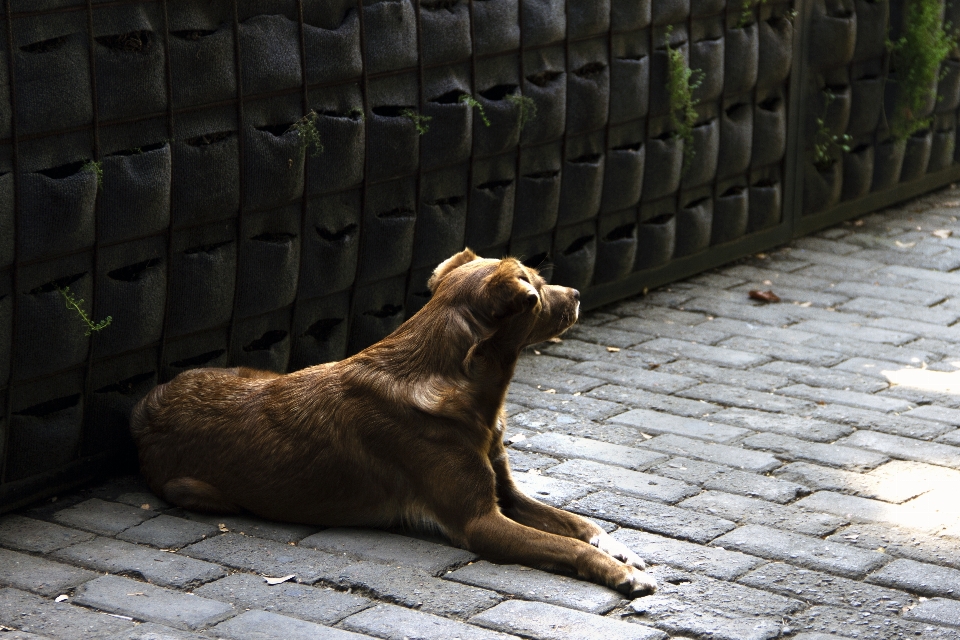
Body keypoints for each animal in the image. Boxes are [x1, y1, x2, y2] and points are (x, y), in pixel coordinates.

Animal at [131, 249, 660, 596]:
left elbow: (578, 522)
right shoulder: (481, 521)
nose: (577, 293)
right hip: (195, 490)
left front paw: (620, 550)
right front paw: (622, 574)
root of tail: (145, 408)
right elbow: (565, 545)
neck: (472, 395)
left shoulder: (505, 493)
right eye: (535, 289)